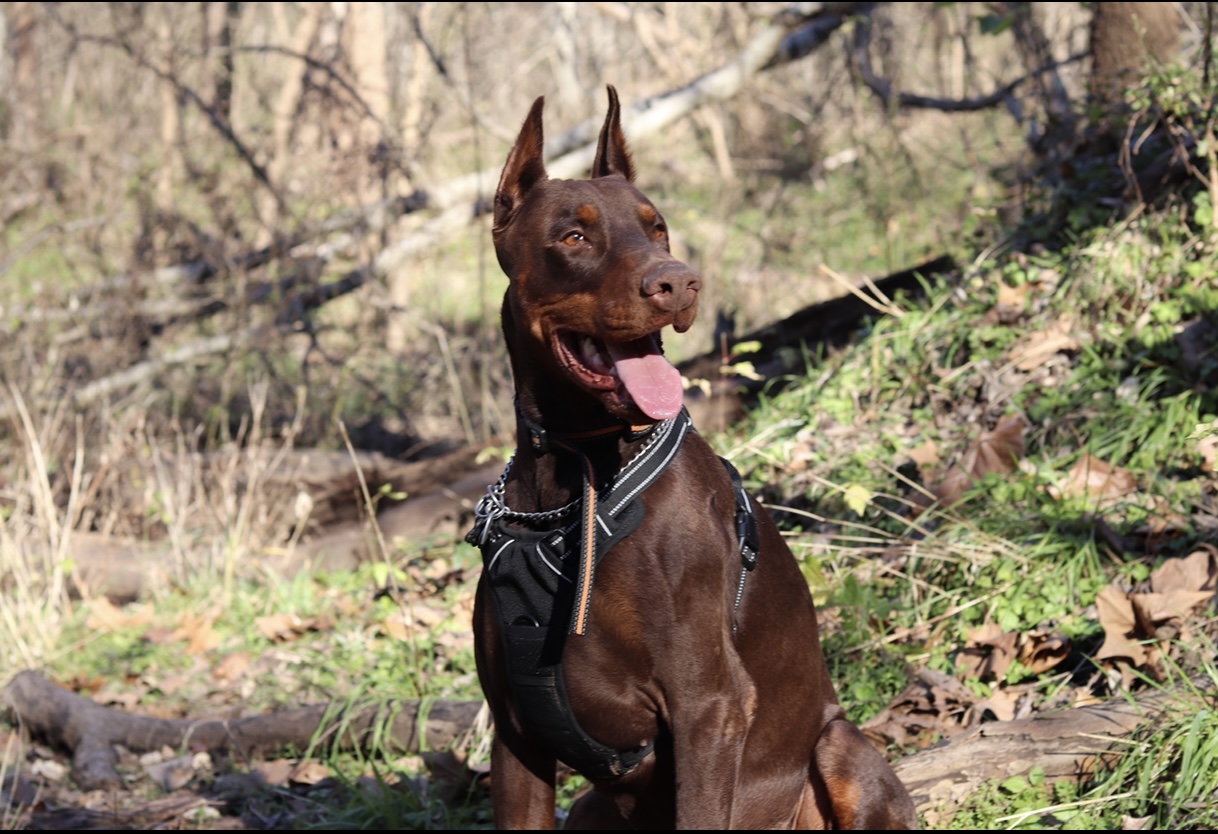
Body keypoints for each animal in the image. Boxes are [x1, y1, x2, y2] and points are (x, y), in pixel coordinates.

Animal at [465, 84, 915, 827]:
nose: (678, 283)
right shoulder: (516, 734)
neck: (582, 478)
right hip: (591, 807)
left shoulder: (709, 706)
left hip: (839, 747)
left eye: (658, 229)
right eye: (574, 236)